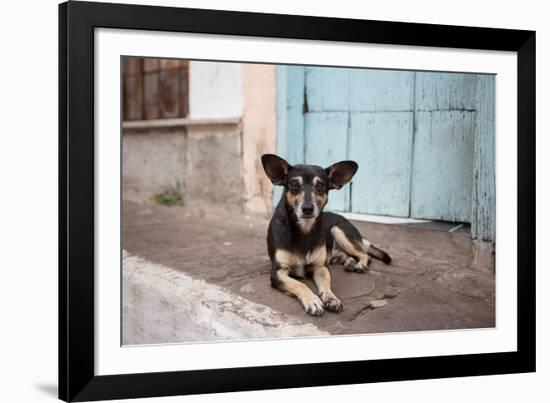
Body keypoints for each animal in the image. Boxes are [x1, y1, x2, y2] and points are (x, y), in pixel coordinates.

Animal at [262, 154, 392, 316]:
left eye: (320, 186)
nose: (307, 208)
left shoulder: (321, 268)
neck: (304, 230)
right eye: (294, 185)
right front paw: (313, 300)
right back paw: (349, 263)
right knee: (349, 255)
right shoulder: (278, 272)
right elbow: (299, 284)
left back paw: (359, 264)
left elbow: (326, 284)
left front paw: (331, 298)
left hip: (339, 232)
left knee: (364, 254)